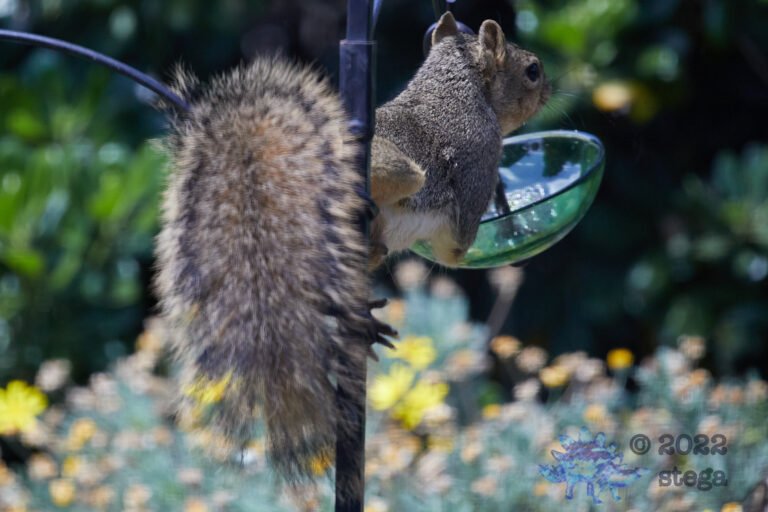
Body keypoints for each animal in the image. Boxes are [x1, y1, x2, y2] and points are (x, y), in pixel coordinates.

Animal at [155, 11, 549, 490]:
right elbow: (456, 247)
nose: (550, 91)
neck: (455, 89)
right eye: (532, 70)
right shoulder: (479, 163)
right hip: (396, 170)